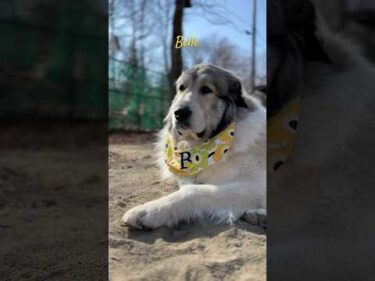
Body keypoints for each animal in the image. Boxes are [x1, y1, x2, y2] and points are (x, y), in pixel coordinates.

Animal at [122, 64, 266, 230]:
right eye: (181, 88)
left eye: (207, 89)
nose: (179, 113)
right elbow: (187, 184)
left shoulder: (256, 186)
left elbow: (193, 190)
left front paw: (149, 210)